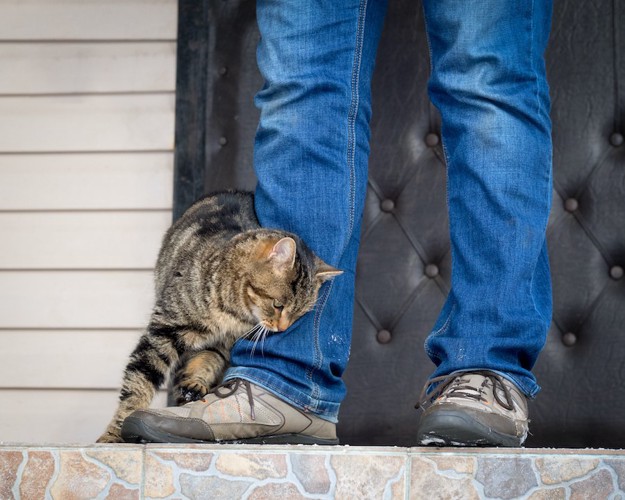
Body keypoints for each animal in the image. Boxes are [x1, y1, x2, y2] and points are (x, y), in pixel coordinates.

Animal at [97, 190, 342, 442]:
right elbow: (139, 382)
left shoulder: (225, 344)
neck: (233, 313)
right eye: (278, 305)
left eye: (299, 314)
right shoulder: (164, 329)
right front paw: (114, 433)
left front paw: (195, 382)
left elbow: (208, 360)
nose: (282, 329)